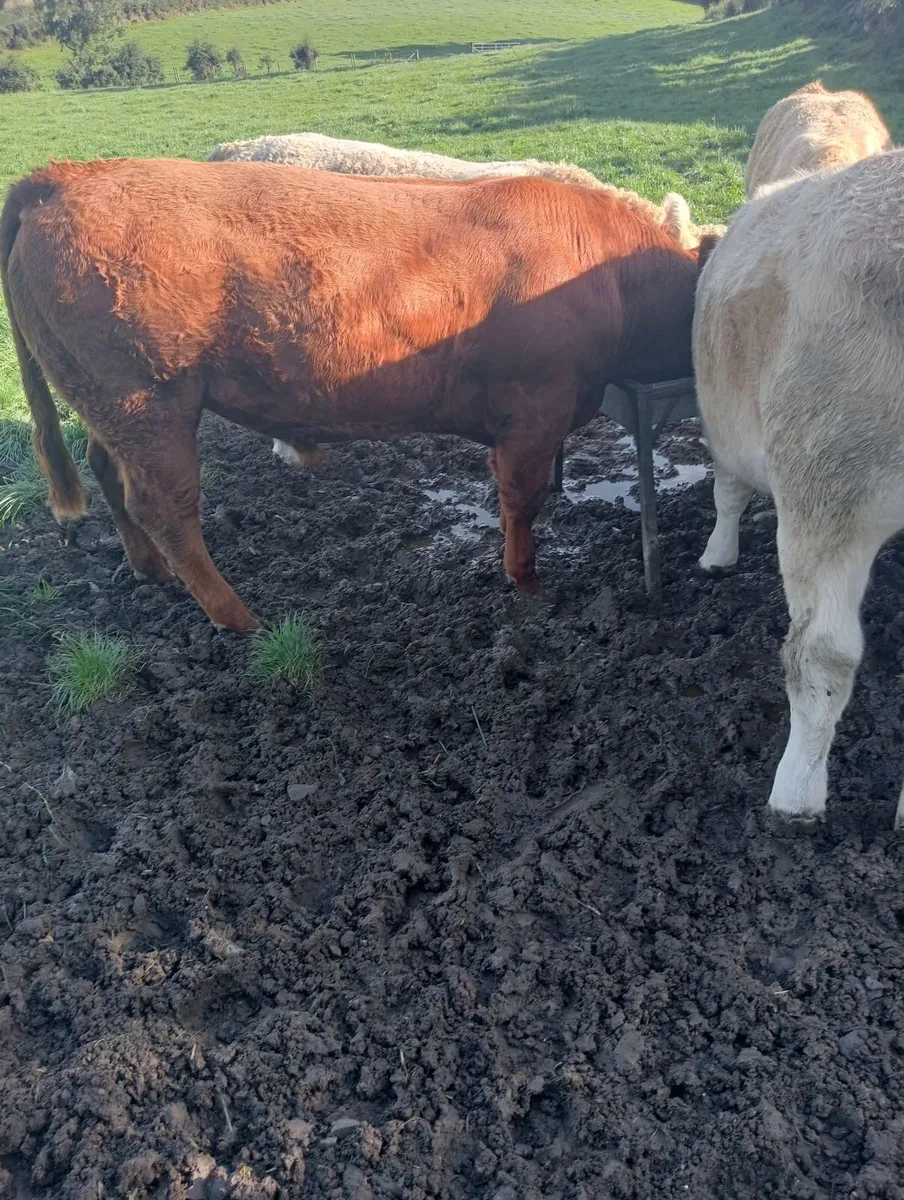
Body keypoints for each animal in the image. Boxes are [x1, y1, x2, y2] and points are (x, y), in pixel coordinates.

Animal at [1, 158, 718, 632]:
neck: (611, 272)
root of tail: (66, 175)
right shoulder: (534, 411)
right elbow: (523, 500)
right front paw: (528, 580)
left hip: (106, 404)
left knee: (105, 471)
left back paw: (149, 572)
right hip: (147, 402)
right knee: (165, 509)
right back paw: (240, 618)